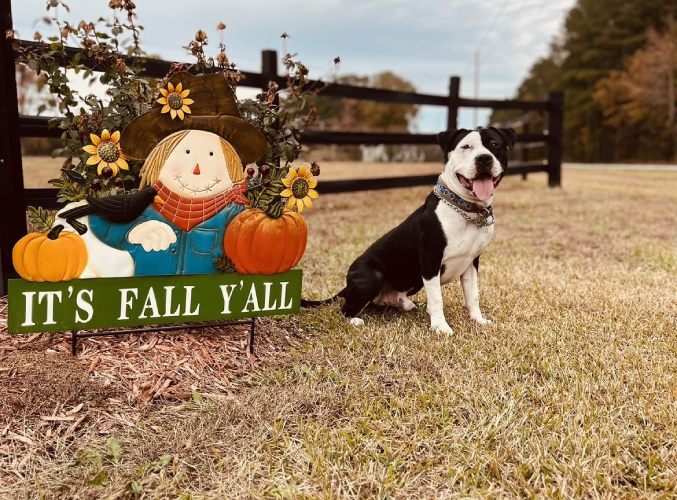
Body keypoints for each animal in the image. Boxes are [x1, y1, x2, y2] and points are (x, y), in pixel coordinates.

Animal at [304, 127, 516, 334]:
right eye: (466, 147)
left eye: (494, 145)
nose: (484, 158)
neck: (466, 209)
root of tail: (347, 284)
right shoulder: (430, 261)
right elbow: (437, 299)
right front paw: (440, 327)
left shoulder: (471, 262)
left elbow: (473, 295)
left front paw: (478, 320)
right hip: (372, 276)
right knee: (345, 309)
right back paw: (355, 320)